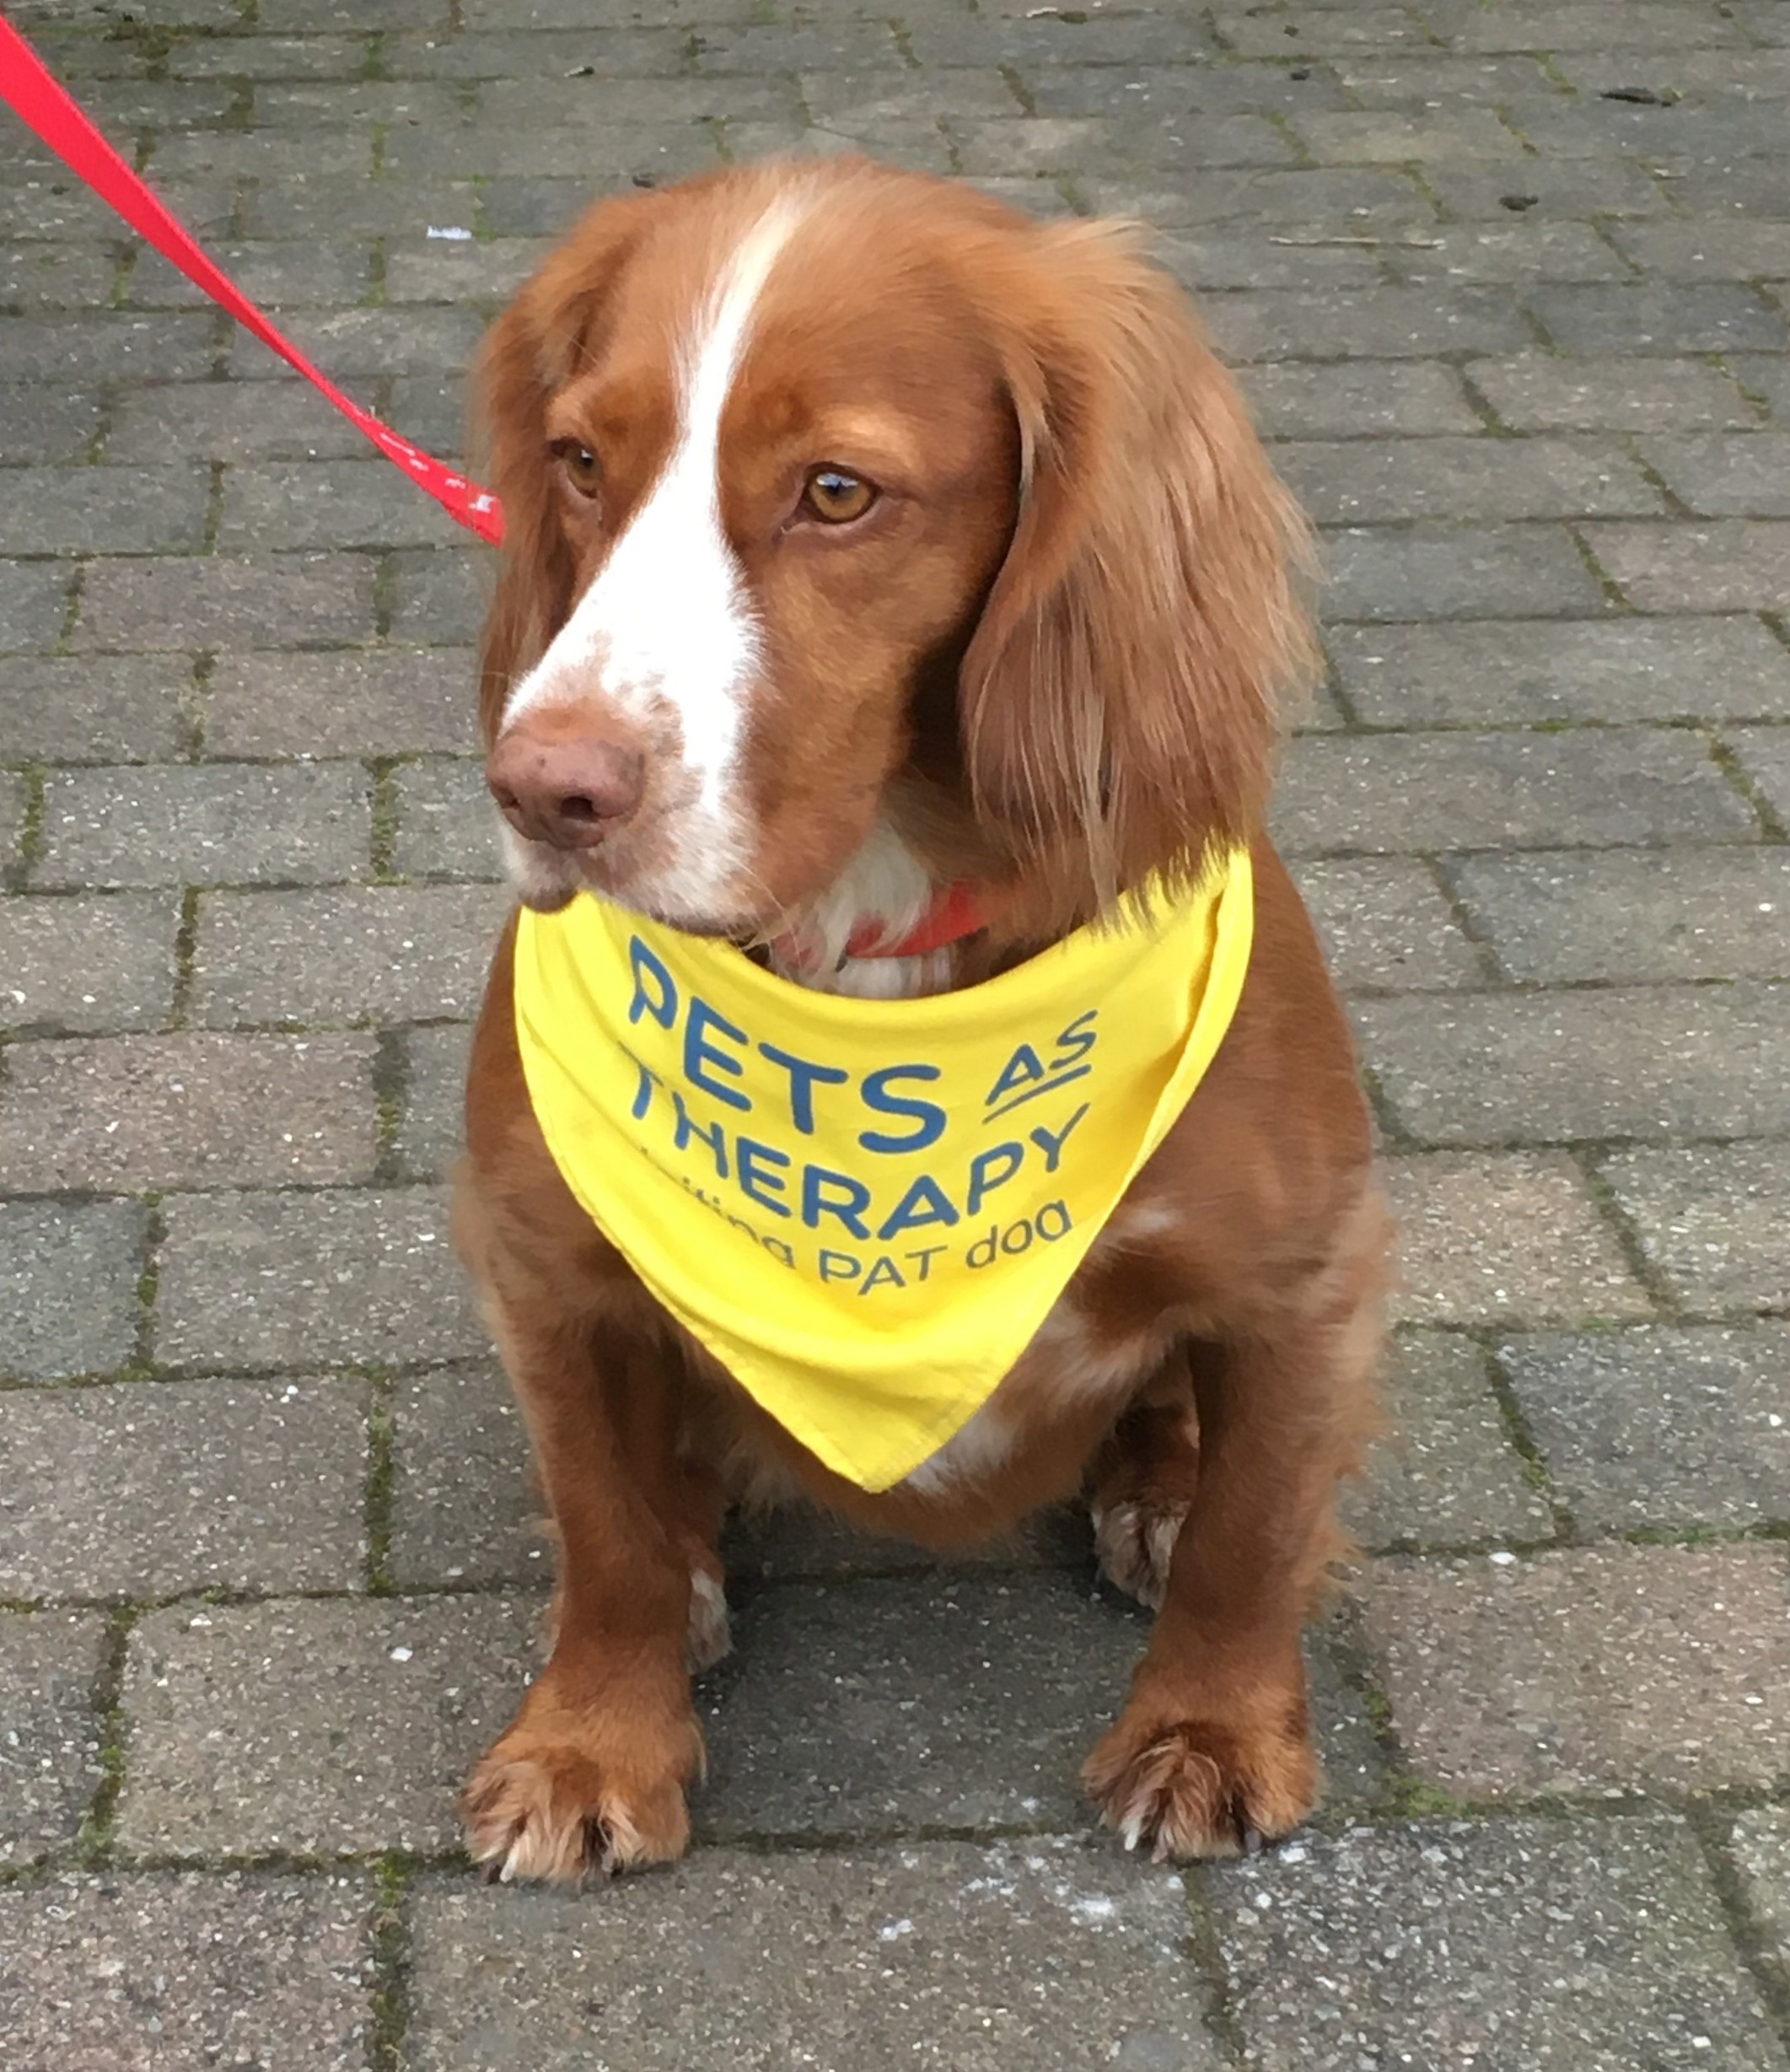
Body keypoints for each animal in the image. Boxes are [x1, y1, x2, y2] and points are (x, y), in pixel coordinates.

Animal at [451, 153, 1384, 1889]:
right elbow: (601, 1528)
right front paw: (589, 1743)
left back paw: (1154, 1492)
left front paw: (1210, 1733)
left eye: (836, 492)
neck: (871, 935)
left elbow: (1253, 1533)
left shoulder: (1307, 1269)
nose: (545, 789)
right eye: (579, 460)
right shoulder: (542, 1260)